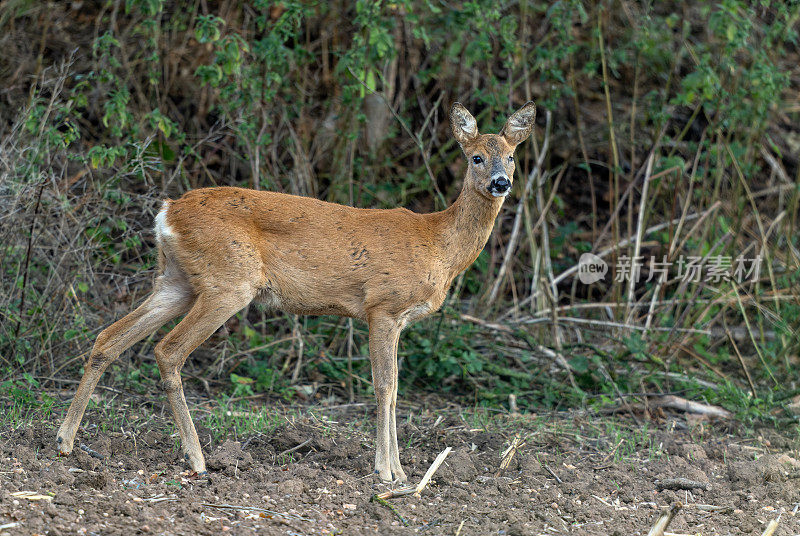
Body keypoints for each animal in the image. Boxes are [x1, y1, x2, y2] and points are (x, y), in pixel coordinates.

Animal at [56, 100, 536, 482]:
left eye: (512, 156)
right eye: (476, 157)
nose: (501, 182)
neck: (438, 244)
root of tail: (165, 213)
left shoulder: (395, 318)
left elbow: (396, 387)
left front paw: (400, 471)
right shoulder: (382, 306)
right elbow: (386, 386)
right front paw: (388, 472)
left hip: (177, 281)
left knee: (109, 337)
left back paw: (64, 441)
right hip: (229, 282)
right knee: (168, 350)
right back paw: (197, 460)